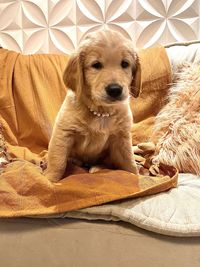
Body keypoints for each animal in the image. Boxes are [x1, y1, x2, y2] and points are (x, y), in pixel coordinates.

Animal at [45, 29, 139, 184]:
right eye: (96, 65)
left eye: (125, 64)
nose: (115, 90)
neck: (101, 111)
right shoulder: (63, 133)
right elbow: (57, 160)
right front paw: (49, 180)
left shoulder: (122, 138)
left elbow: (128, 161)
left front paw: (138, 175)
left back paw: (97, 168)